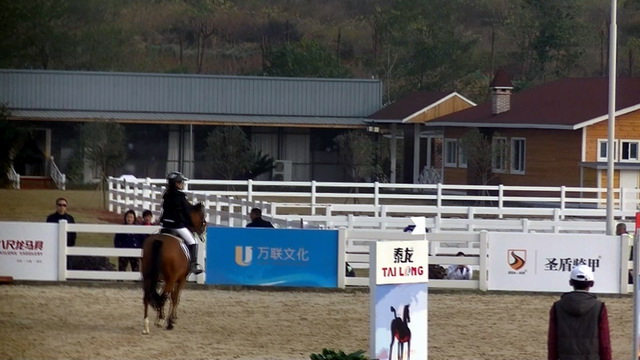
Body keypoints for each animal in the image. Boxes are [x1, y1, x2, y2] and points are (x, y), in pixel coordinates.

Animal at [141, 202, 205, 334]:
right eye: (202, 215)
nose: (204, 229)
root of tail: (159, 241)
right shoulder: (181, 279)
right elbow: (175, 297)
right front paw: (170, 320)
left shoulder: (168, 279)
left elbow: (171, 296)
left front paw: (169, 317)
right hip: (170, 279)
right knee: (163, 296)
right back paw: (164, 322)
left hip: (148, 277)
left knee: (147, 297)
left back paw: (146, 326)